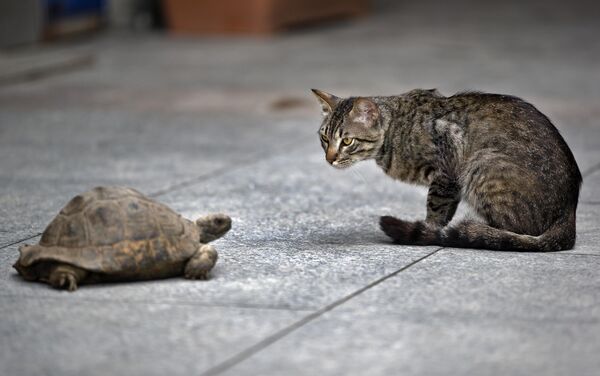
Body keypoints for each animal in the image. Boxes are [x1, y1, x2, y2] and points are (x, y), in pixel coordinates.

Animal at [314, 88, 580, 251]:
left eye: (347, 141)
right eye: (325, 138)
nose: (329, 159)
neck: (395, 129)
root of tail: (569, 212)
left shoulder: (447, 171)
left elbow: (436, 208)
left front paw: (428, 230)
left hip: (481, 165)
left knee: (516, 230)